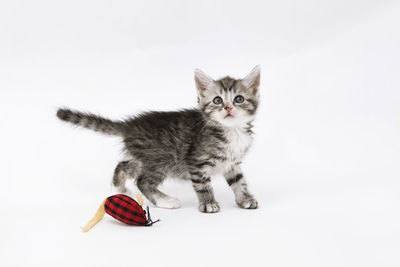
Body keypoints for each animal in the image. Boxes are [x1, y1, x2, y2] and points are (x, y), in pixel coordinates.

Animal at [57, 66, 260, 214]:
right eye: (217, 100)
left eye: (239, 99)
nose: (228, 108)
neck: (232, 131)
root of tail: (130, 125)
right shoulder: (196, 161)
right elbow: (203, 185)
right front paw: (208, 203)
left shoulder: (232, 162)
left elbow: (239, 181)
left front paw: (245, 199)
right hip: (163, 159)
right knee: (142, 181)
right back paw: (165, 201)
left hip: (143, 158)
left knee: (123, 166)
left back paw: (120, 190)